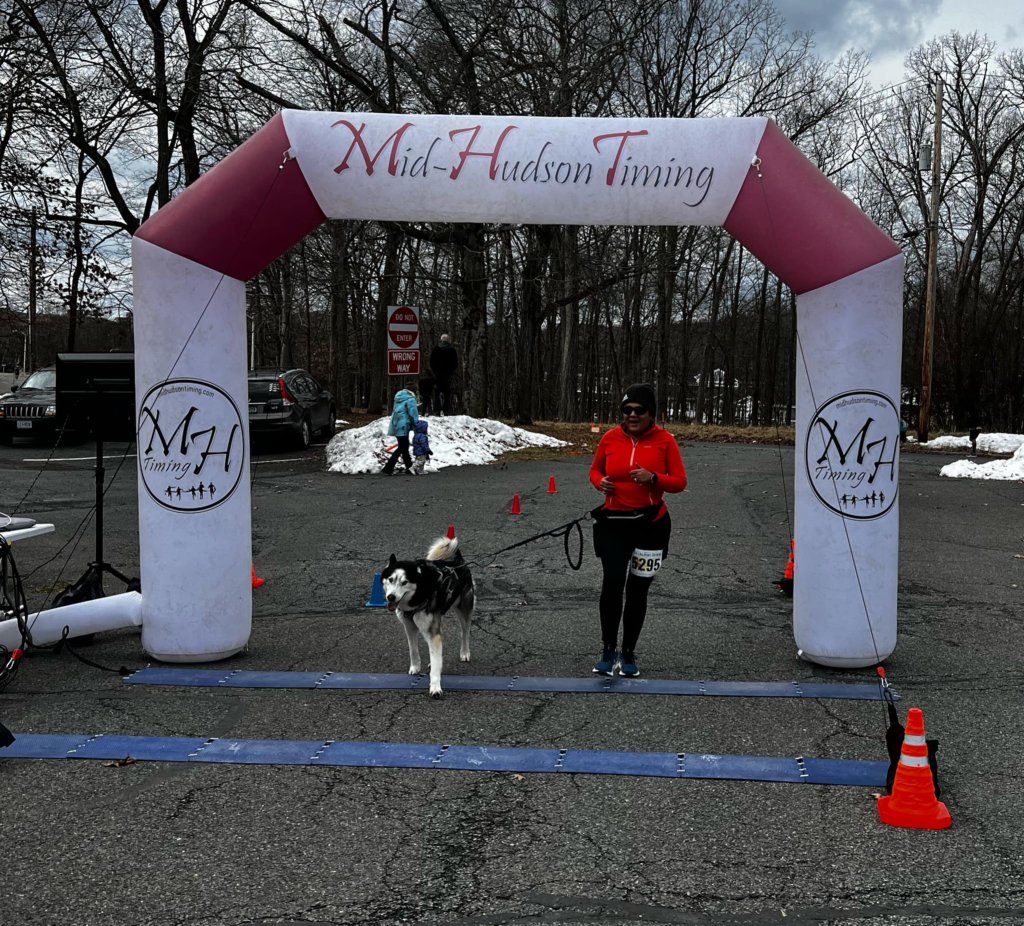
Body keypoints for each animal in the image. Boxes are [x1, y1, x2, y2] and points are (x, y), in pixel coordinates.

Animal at [380, 536, 475, 698]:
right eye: (391, 580)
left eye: (404, 582)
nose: (391, 597)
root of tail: (459, 561)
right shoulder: (409, 625)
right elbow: (413, 649)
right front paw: (415, 667)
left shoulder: (432, 631)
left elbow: (435, 660)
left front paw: (435, 687)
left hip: (464, 610)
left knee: (465, 632)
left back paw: (465, 652)